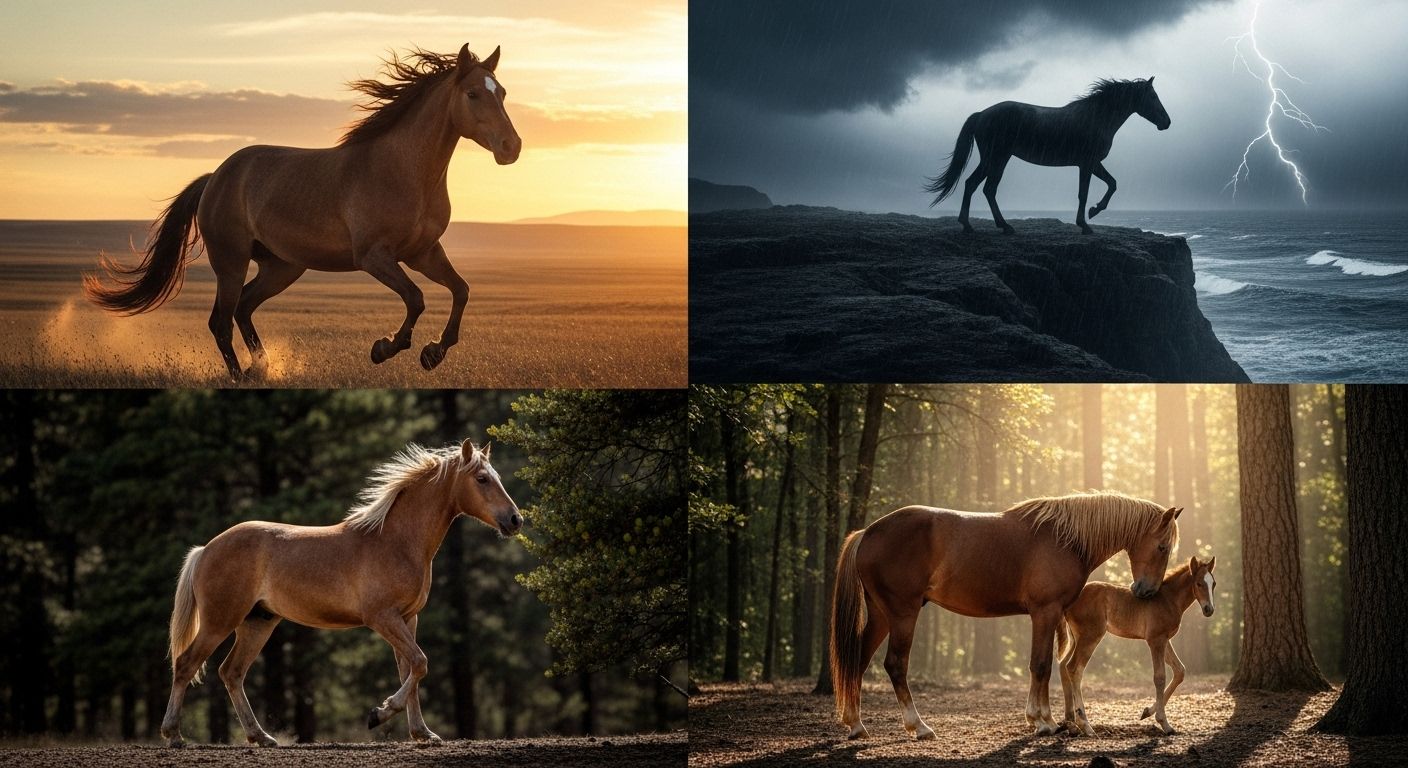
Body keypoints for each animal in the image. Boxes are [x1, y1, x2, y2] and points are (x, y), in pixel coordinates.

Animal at [83, 44, 522, 380]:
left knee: (243, 308)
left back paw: (262, 368)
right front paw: (385, 348)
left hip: (282, 266)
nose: (511, 147)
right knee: (221, 321)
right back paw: (242, 376)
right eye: (473, 94)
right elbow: (415, 298)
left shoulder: (423, 253)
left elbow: (461, 290)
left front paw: (433, 352)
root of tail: (216, 177)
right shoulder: (374, 257)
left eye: (501, 92)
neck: (402, 171)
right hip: (231, 261)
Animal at [158, 440, 523, 747]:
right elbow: (420, 663)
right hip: (220, 621)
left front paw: (422, 733)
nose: (515, 520)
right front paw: (379, 714)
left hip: (258, 622)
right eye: (481, 479)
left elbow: (410, 671)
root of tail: (205, 549)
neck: (396, 542)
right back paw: (174, 735)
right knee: (187, 664)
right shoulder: (382, 618)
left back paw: (261, 737)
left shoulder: (408, 618)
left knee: (231, 673)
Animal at [831, 491, 1181, 740]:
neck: (1065, 539)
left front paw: (1041, 719)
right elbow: (1041, 666)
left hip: (881, 614)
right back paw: (919, 726)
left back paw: (856, 725)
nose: (1146, 591)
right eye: (1163, 547)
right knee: (895, 665)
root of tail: (868, 532)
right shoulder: (1045, 612)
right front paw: (1043, 722)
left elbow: (1043, 665)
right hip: (903, 614)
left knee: (859, 660)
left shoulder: (1049, 615)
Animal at [925, 77, 1170, 235]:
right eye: (1153, 96)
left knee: (977, 186)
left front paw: (1091, 214)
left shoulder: (1091, 164)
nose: (1166, 122)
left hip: (995, 159)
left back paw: (981, 225)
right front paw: (1087, 222)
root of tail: (981, 114)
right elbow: (1088, 192)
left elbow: (1111, 184)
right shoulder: (1088, 163)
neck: (1096, 118)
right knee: (984, 187)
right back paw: (994, 226)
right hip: (996, 158)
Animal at [1057, 555, 1216, 737]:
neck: (1168, 600)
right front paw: (1164, 723)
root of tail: (1069, 602)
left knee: (1063, 665)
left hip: (1076, 638)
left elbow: (1180, 671)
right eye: (1199, 583)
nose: (1209, 609)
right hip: (1090, 636)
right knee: (1074, 668)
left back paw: (1070, 721)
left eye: (1213, 583)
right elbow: (1160, 677)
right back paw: (1085, 725)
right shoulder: (1155, 640)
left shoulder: (1165, 639)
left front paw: (1147, 711)